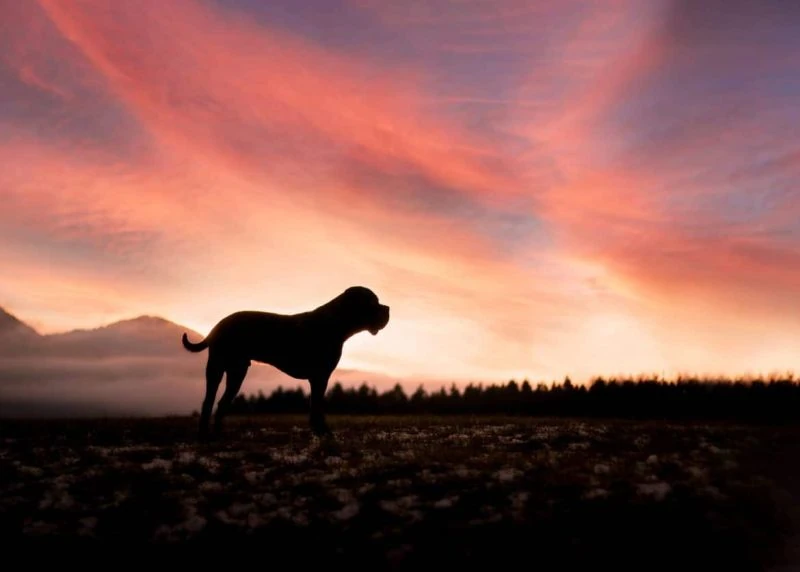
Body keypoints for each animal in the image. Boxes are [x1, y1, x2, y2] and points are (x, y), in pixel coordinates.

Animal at [182, 286, 394, 438]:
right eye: (373, 302)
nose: (388, 308)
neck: (335, 323)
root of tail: (217, 325)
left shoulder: (318, 378)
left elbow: (315, 406)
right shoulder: (320, 377)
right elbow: (317, 406)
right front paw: (322, 431)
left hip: (237, 372)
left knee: (221, 403)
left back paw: (219, 434)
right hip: (217, 368)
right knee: (208, 401)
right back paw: (204, 434)